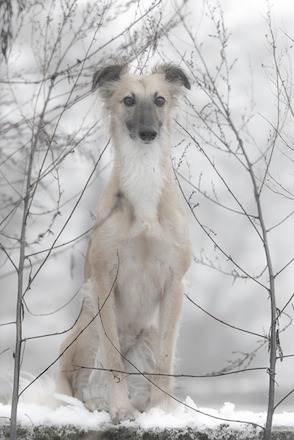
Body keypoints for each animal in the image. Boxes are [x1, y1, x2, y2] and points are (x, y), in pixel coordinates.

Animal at [56, 62, 192, 422]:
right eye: (128, 100)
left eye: (160, 100)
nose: (148, 133)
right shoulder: (104, 280)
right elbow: (113, 361)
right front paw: (119, 408)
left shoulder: (174, 283)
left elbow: (165, 361)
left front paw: (162, 412)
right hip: (88, 325)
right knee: (85, 382)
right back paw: (100, 404)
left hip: (149, 333)